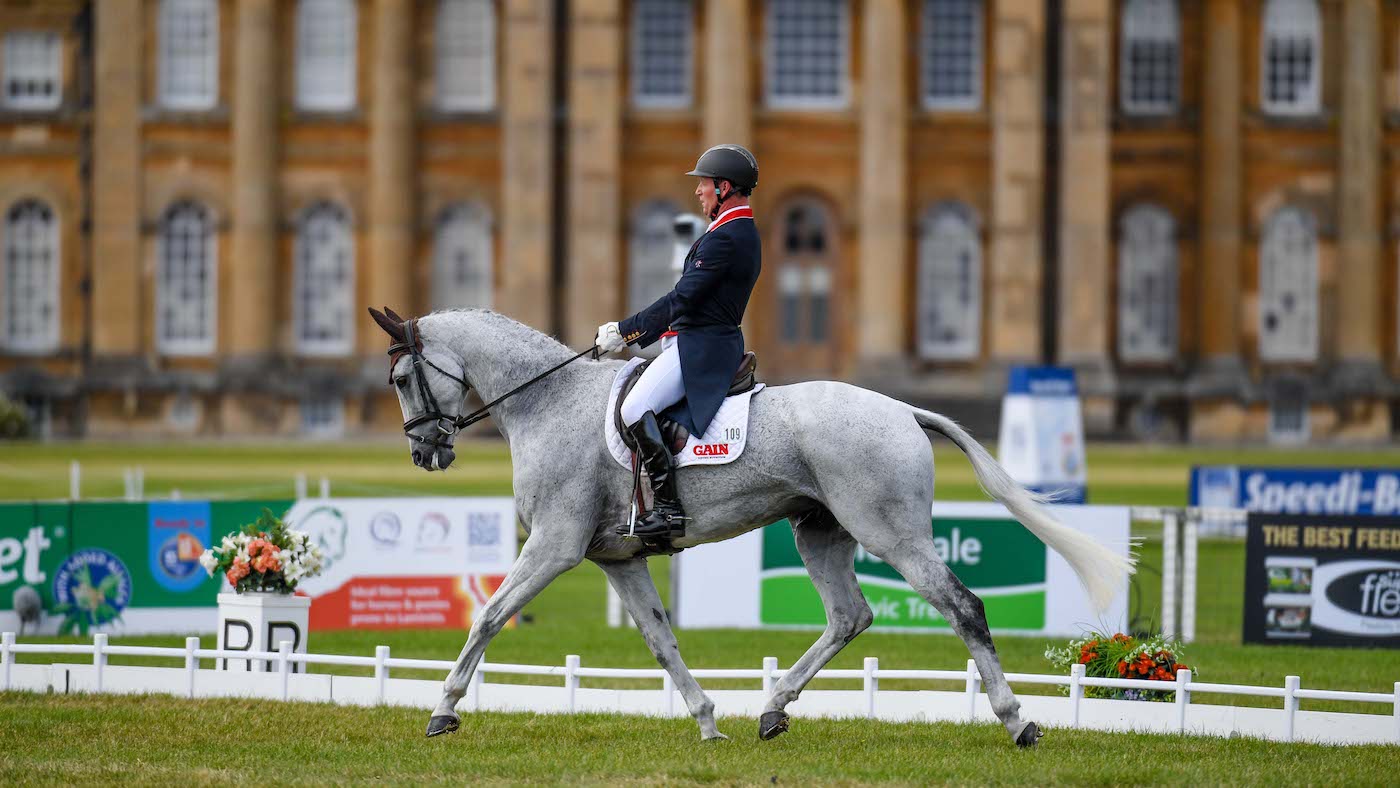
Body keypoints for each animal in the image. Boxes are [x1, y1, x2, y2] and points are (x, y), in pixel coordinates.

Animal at [367, 307, 1134, 748]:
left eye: (402, 378)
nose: (424, 453)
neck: (547, 401)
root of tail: (901, 409)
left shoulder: (554, 547)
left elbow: (489, 616)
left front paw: (442, 711)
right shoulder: (617, 557)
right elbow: (662, 641)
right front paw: (708, 720)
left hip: (891, 534)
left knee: (962, 606)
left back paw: (1018, 721)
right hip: (819, 532)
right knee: (850, 616)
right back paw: (771, 709)